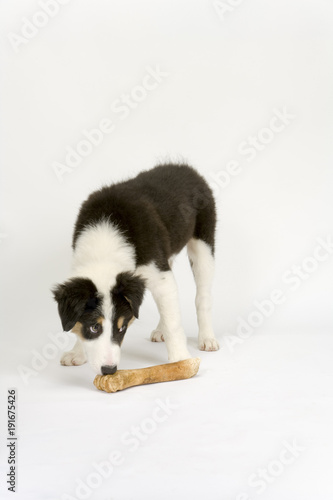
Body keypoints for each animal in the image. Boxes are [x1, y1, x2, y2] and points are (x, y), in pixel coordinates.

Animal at [52, 164, 219, 376]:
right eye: (94, 327)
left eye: (122, 327)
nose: (109, 370)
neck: (105, 245)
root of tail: (184, 167)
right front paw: (77, 353)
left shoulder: (160, 274)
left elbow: (174, 321)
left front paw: (180, 360)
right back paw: (160, 330)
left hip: (203, 242)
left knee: (202, 296)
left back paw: (207, 338)